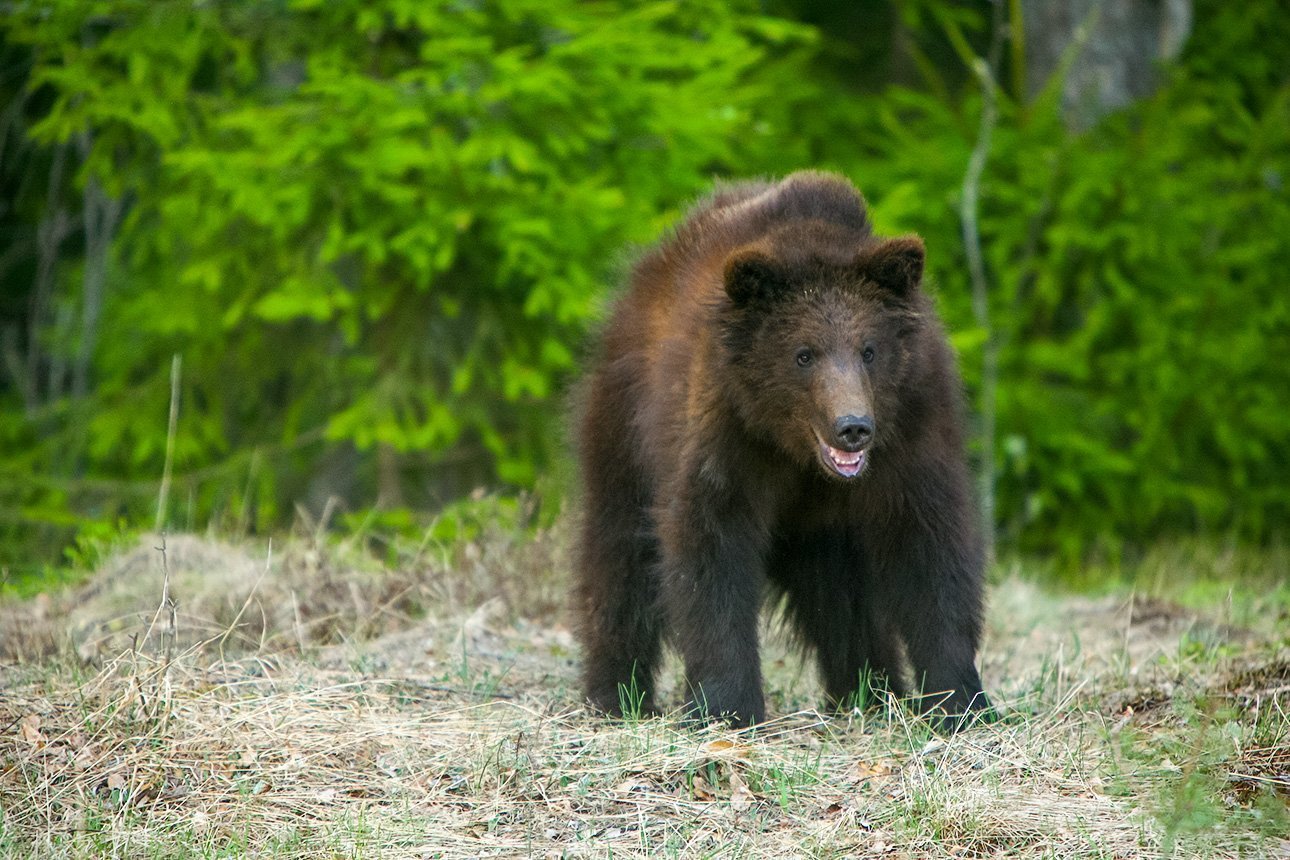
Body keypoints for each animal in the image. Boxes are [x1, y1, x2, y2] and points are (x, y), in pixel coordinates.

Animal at [572, 171, 985, 732]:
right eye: (803, 354)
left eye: (869, 350)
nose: (853, 428)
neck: (795, 452)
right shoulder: (726, 433)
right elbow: (711, 550)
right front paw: (725, 706)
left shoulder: (911, 432)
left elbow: (931, 550)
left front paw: (960, 701)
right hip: (625, 425)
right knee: (618, 558)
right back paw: (616, 695)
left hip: (825, 529)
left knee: (841, 598)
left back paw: (870, 692)